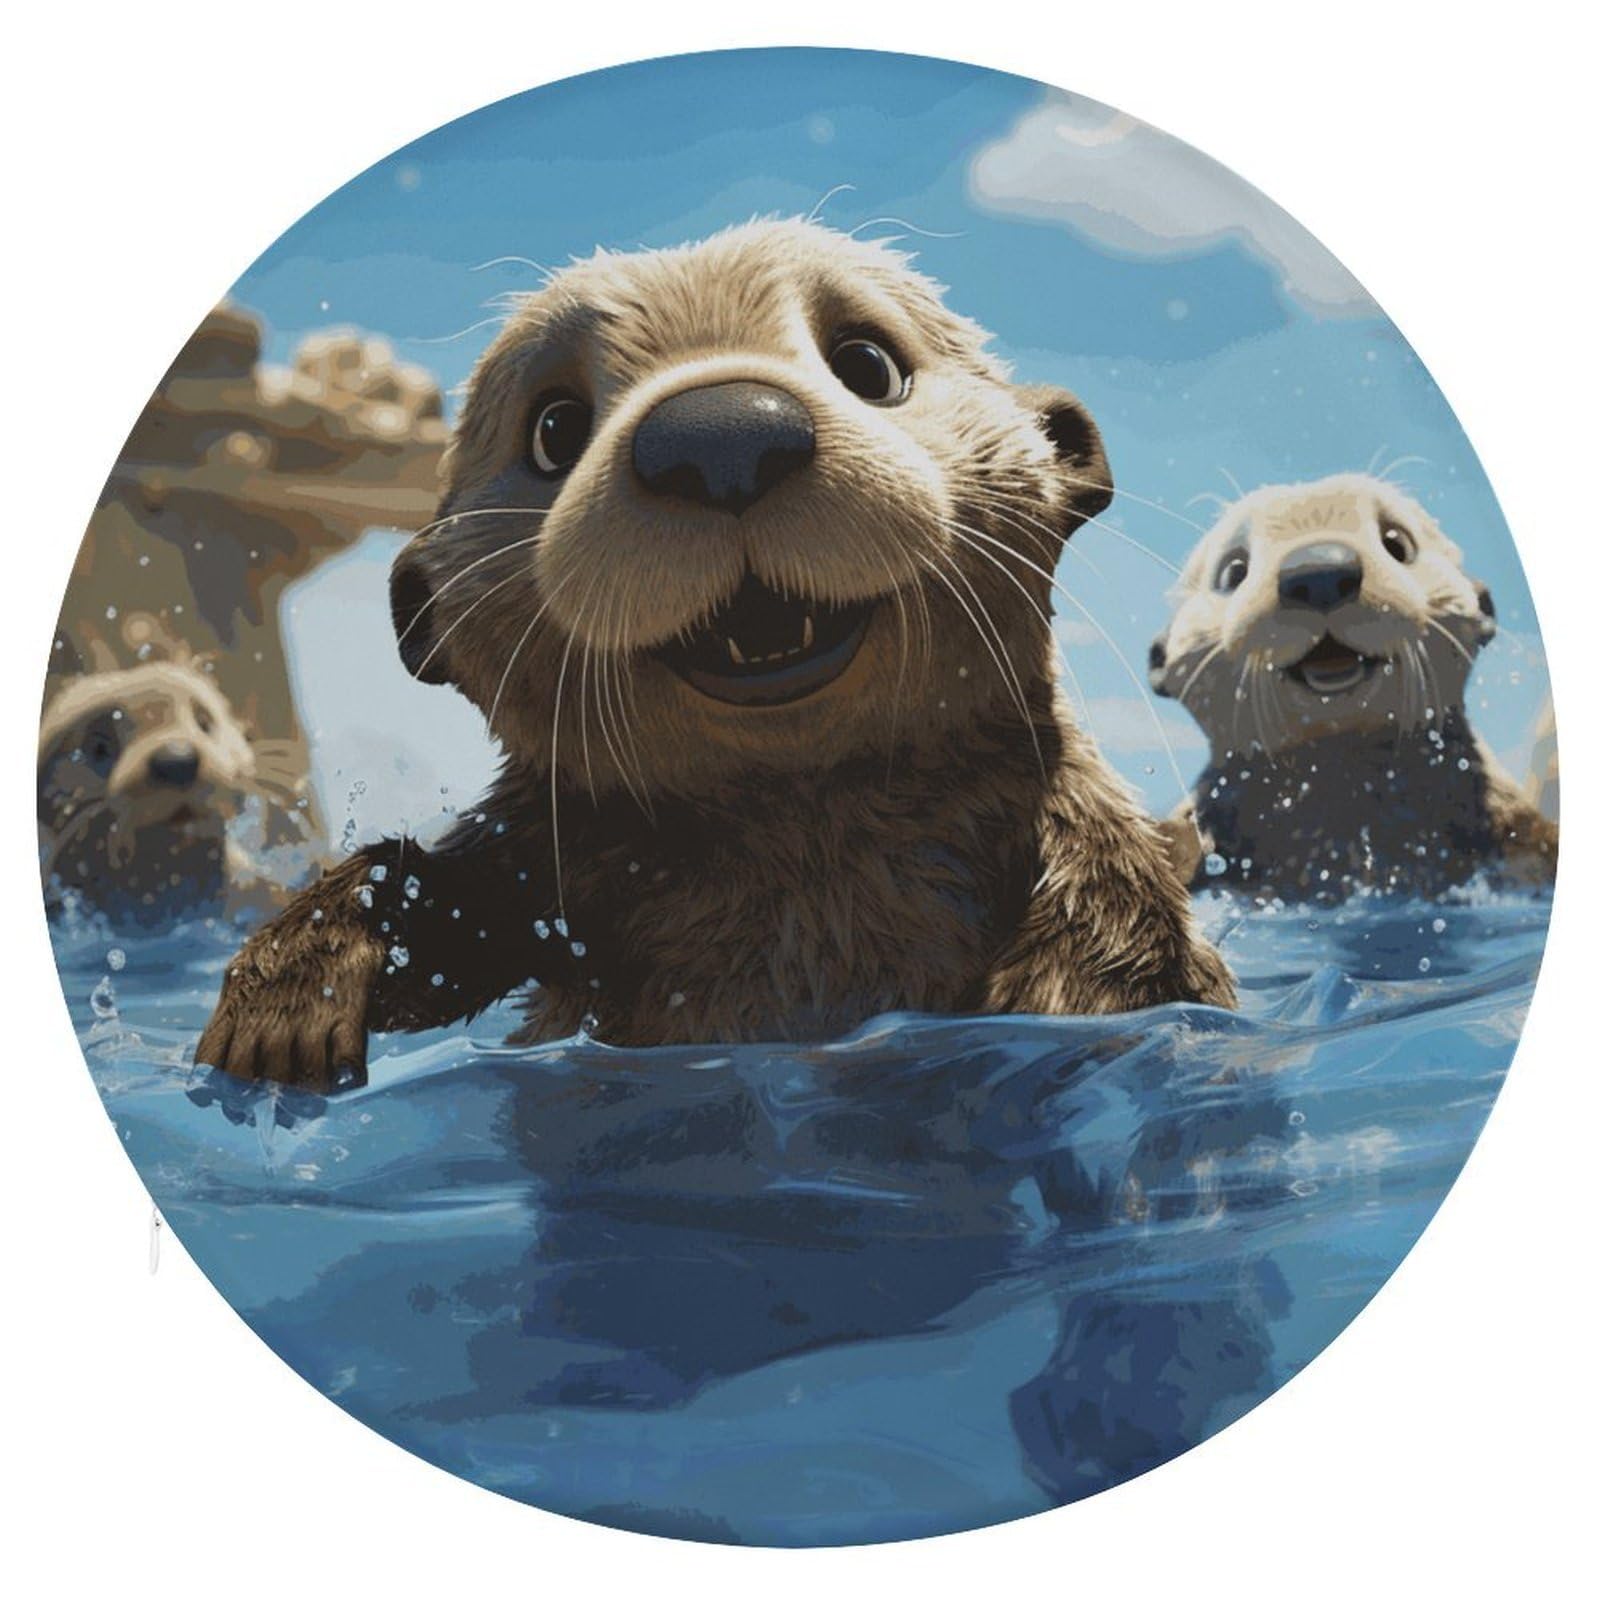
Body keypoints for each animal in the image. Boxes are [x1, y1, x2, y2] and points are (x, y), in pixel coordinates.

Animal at [196, 219, 1234, 1090]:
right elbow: (432, 907)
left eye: (869, 363)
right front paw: (285, 1005)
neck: (808, 846)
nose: (723, 434)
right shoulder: (544, 871)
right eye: (553, 428)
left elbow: (1118, 948)